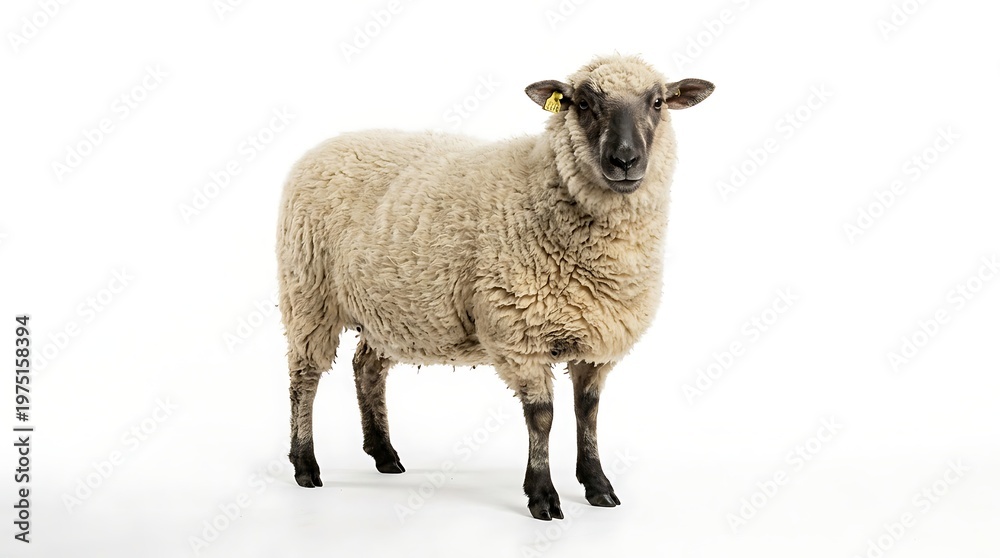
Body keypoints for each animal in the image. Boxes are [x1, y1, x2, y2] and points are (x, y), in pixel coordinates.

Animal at [277, 54, 713, 520]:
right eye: (583, 103)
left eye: (657, 102)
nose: (625, 159)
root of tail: (328, 144)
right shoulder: (519, 332)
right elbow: (542, 417)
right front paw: (542, 495)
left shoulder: (597, 339)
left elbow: (588, 412)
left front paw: (597, 485)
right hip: (309, 294)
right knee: (304, 379)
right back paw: (305, 464)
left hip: (387, 309)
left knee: (366, 368)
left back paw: (383, 453)